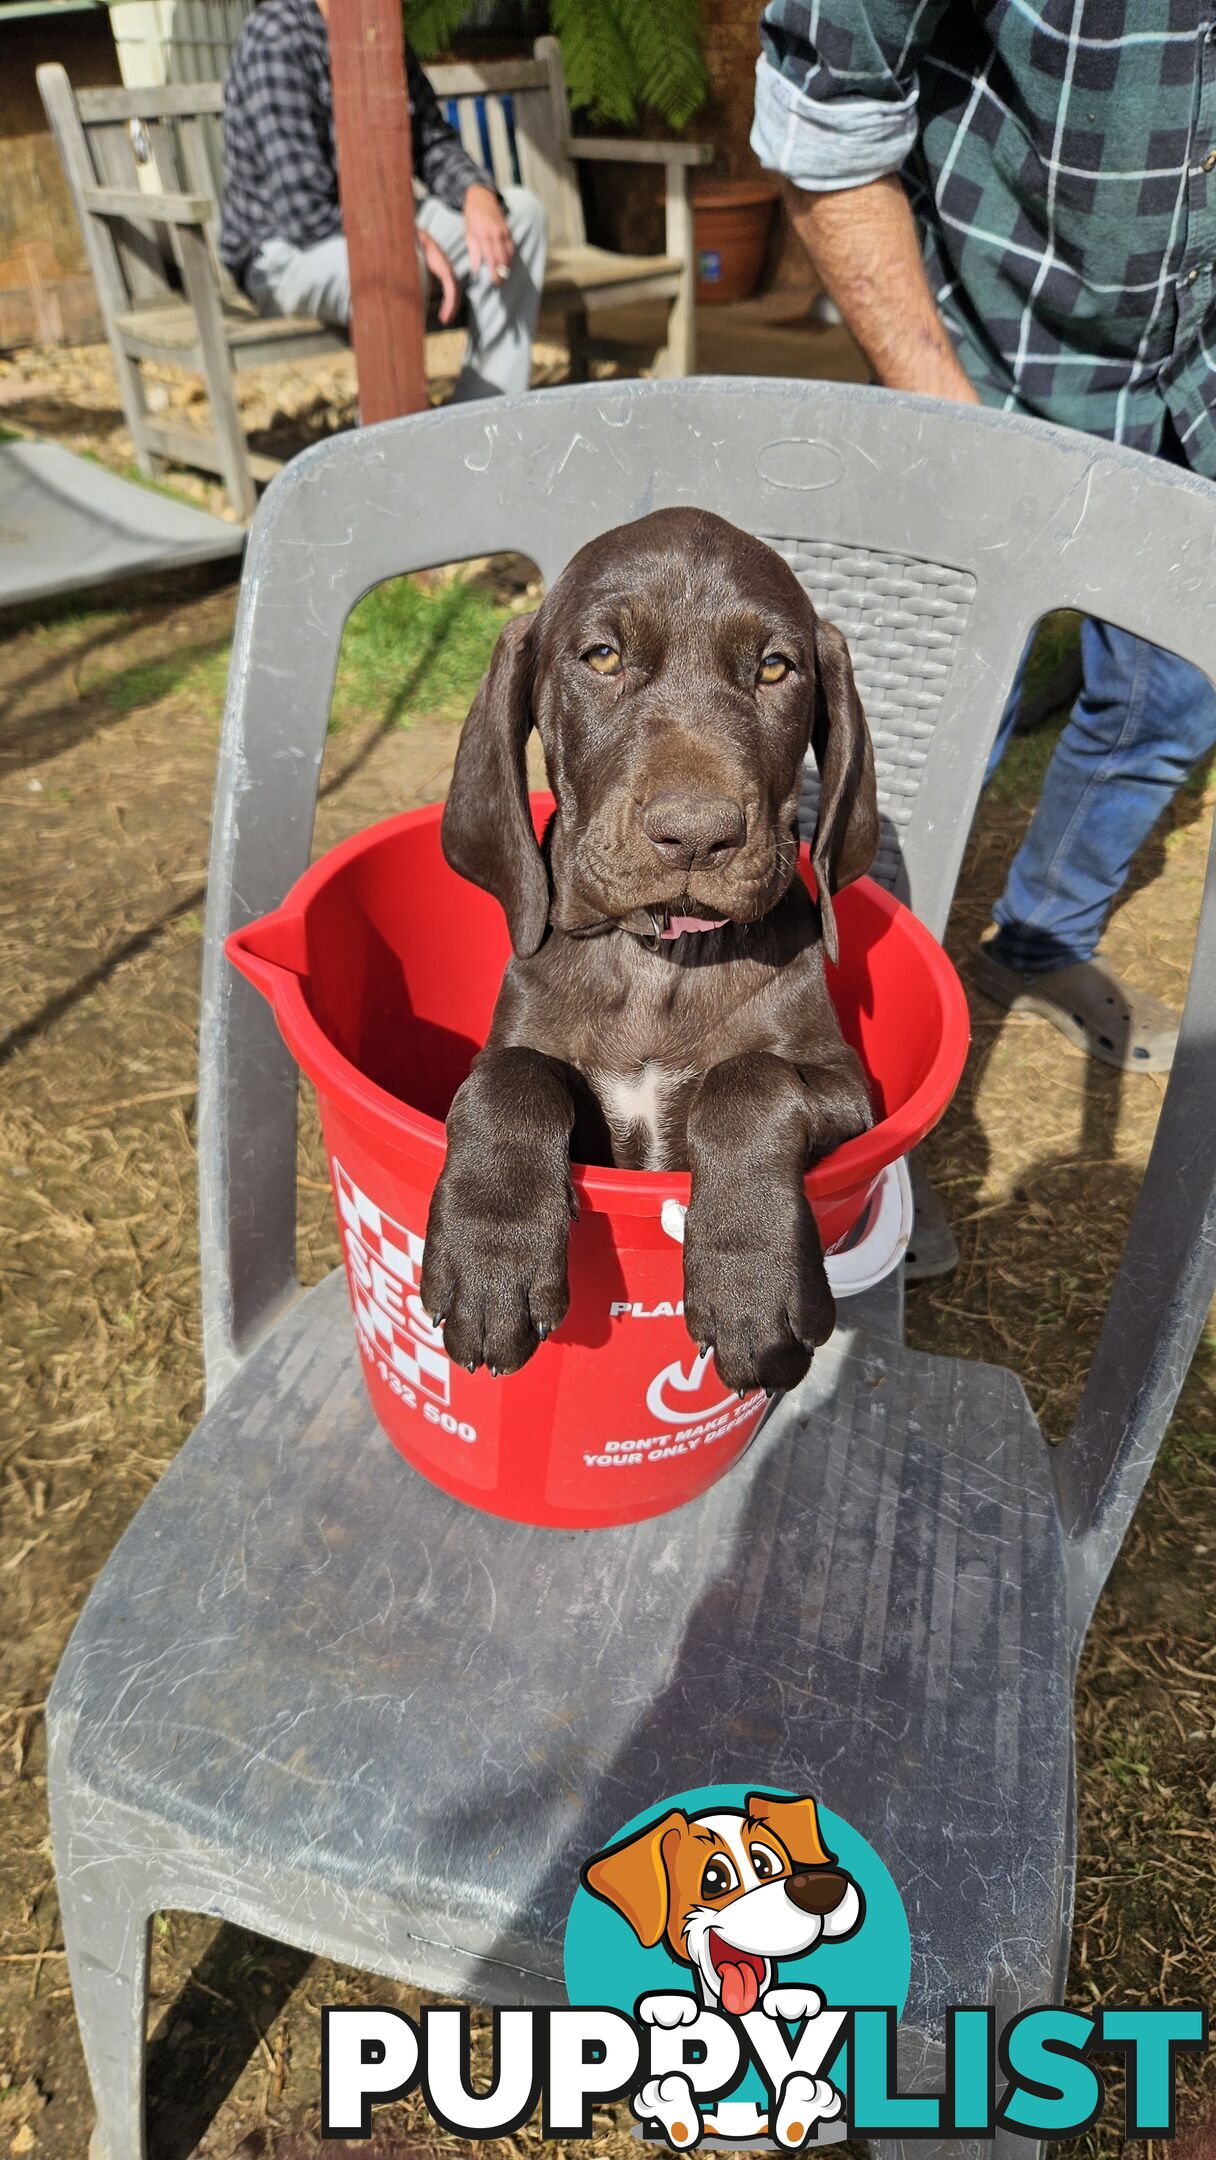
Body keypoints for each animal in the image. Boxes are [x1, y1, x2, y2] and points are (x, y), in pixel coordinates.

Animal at [423, 505, 881, 1391]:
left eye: (775, 668)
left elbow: (749, 1080)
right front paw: (492, 1255)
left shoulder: (851, 1092)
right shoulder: (517, 1045)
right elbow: (509, 1074)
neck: (658, 959)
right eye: (603, 656)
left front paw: (748, 1279)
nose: (697, 834)